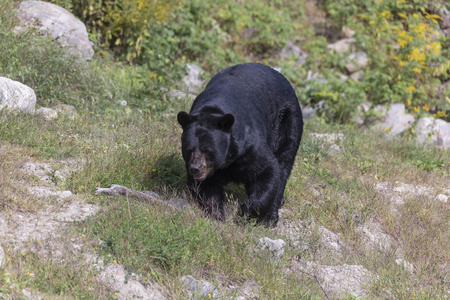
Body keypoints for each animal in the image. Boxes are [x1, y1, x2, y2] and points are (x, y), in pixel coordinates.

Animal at [177, 62, 302, 225]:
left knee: (284, 162)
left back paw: (271, 216)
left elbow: (267, 171)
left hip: (287, 121)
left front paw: (245, 211)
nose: (195, 169)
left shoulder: (249, 145)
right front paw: (217, 214)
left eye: (207, 150)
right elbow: (205, 187)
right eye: (189, 149)